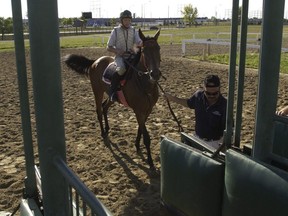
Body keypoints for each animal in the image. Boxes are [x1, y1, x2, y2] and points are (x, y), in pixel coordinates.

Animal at [63, 29, 161, 170]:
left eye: (158, 48)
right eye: (144, 51)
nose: (155, 74)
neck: (144, 84)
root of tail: (95, 62)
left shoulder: (147, 110)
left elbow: (140, 129)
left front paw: (137, 145)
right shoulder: (138, 111)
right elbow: (146, 136)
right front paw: (151, 162)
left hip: (111, 96)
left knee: (104, 107)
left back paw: (108, 129)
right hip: (97, 92)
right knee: (99, 110)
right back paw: (103, 132)